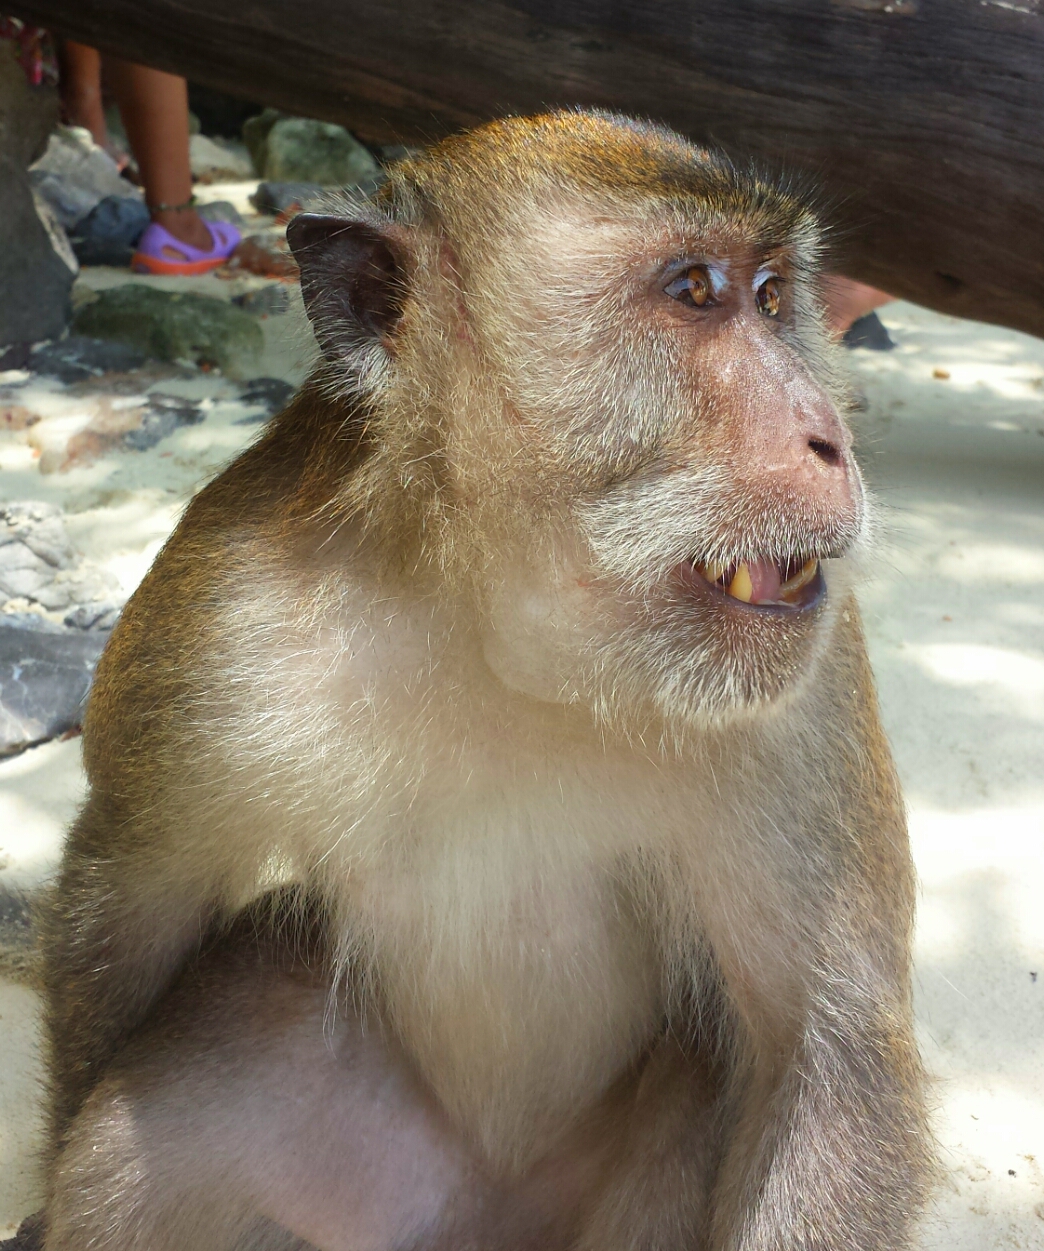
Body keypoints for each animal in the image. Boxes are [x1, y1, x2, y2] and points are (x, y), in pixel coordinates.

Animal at [36, 115, 935, 1251]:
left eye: (775, 298)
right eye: (694, 289)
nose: (830, 434)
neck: (507, 630)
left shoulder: (802, 696)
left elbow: (825, 1054)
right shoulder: (218, 627)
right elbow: (134, 893)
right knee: (165, 1097)